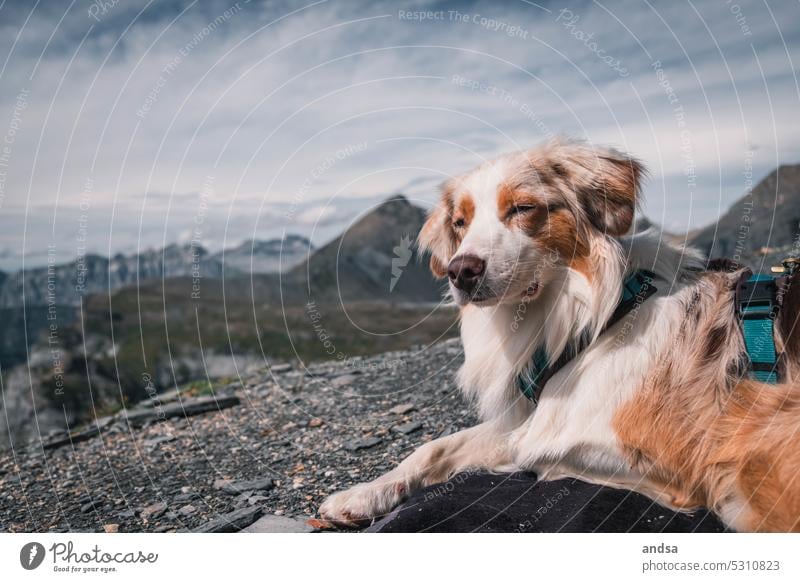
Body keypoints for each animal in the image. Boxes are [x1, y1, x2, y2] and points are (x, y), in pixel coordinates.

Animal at [318, 139, 800, 532]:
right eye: (460, 222)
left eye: (522, 208)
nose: (461, 271)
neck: (591, 320)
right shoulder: (535, 421)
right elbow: (435, 448)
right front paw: (364, 493)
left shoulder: (678, 460)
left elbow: (543, 457)